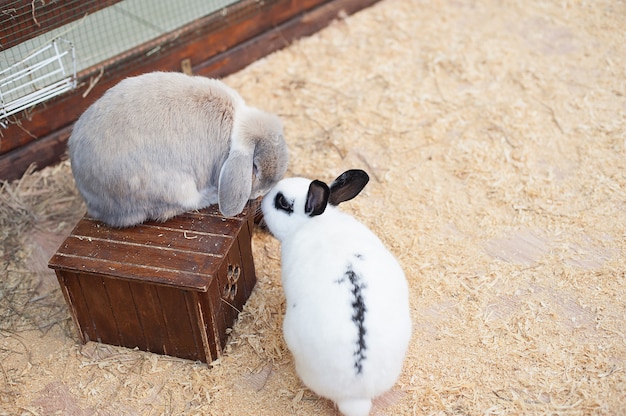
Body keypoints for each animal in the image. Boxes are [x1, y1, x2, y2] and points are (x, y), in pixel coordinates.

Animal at [68, 71, 288, 228]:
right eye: (255, 167)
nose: (262, 192)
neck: (236, 125)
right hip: (172, 184)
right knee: (185, 203)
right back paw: (210, 194)